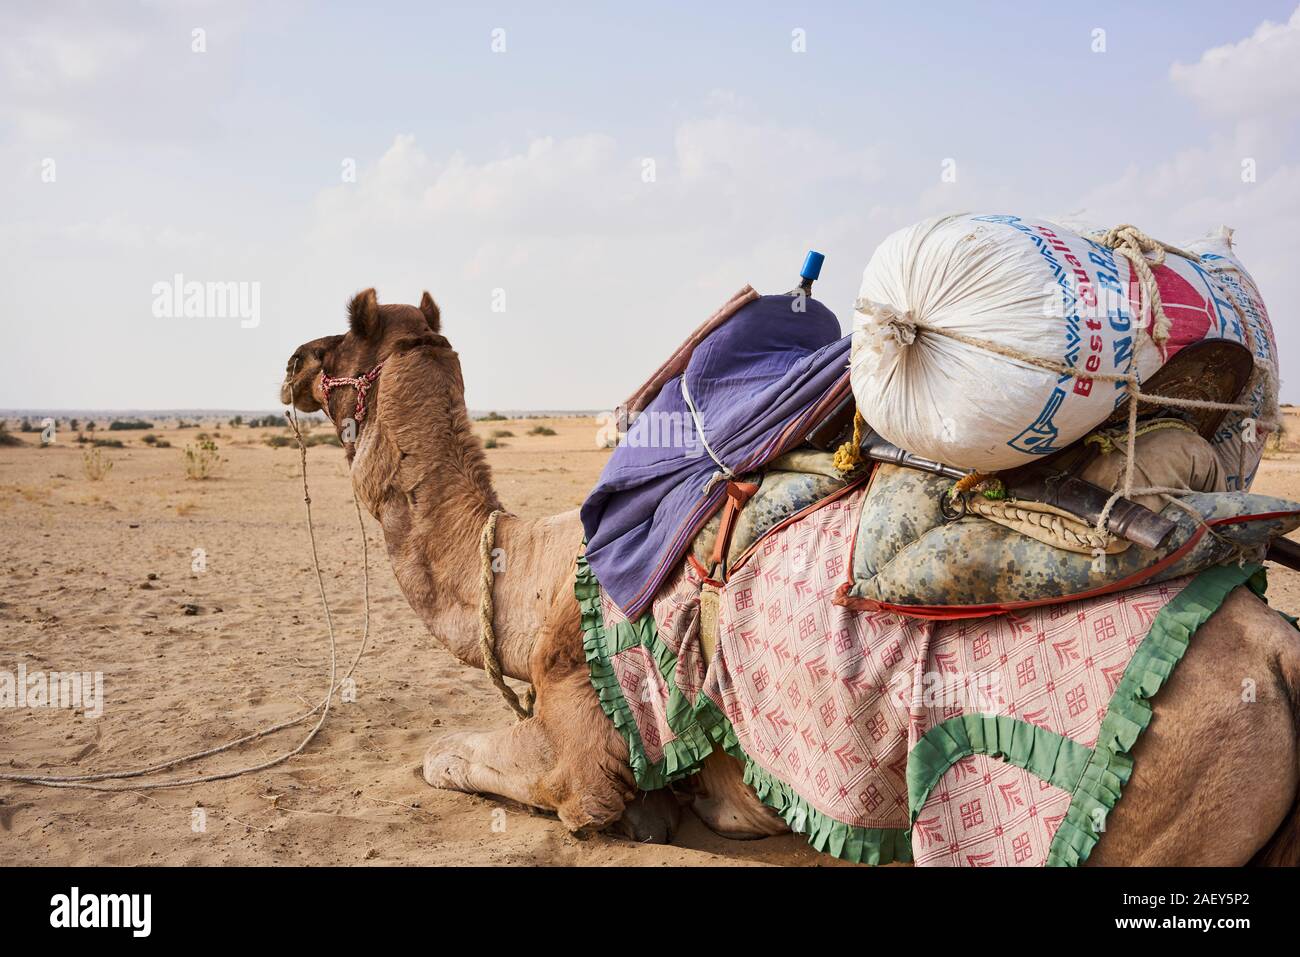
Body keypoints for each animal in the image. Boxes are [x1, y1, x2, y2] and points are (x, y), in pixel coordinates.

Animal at [284, 287, 1300, 863]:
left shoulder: (587, 752)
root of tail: (1278, 658)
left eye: (338, 345)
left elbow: (450, 757)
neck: (524, 580)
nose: (289, 360)